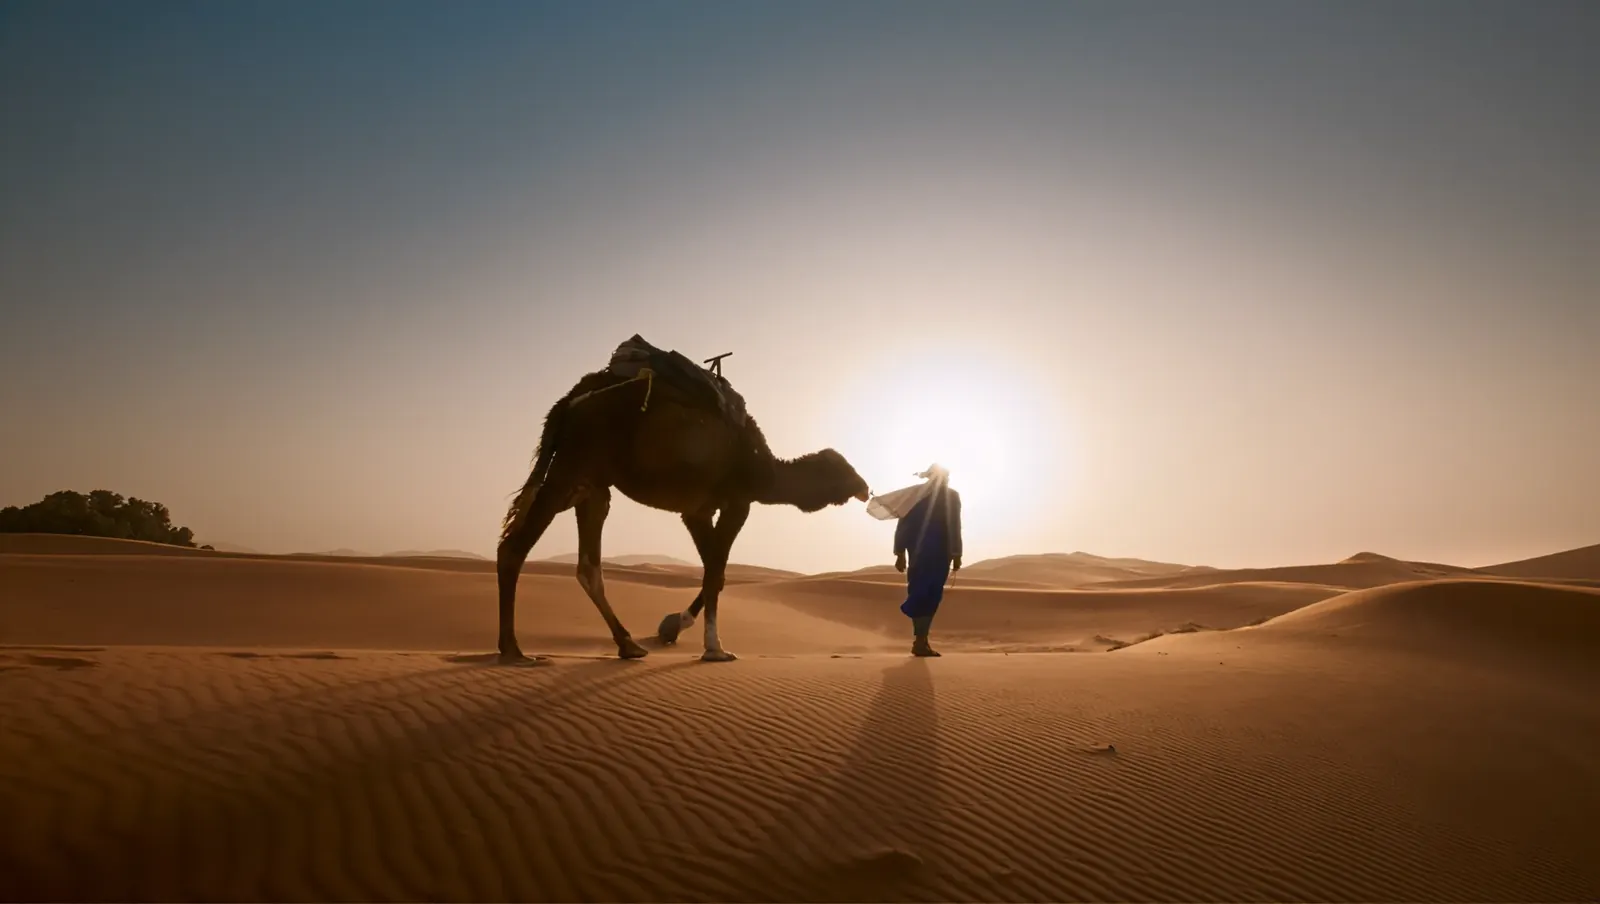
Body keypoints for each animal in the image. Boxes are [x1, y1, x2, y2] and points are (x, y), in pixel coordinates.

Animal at [496, 346, 870, 664]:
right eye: (844, 469)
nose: (865, 488)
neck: (765, 468)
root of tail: (569, 401)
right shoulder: (738, 502)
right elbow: (716, 573)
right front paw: (714, 647)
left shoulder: (697, 511)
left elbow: (714, 573)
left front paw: (676, 626)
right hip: (572, 465)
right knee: (515, 547)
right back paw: (514, 650)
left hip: (590, 485)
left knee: (587, 565)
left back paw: (628, 645)